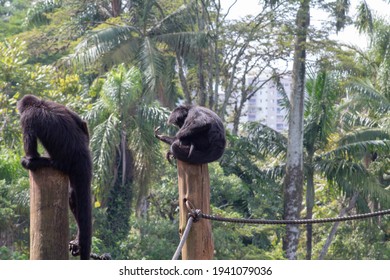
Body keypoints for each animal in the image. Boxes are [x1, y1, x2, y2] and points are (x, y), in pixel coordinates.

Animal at [18, 94, 92, 260]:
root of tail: (81, 156)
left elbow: (31, 152)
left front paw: (28, 158)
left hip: (59, 163)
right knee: (73, 197)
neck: (39, 104)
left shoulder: (27, 117)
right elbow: (82, 123)